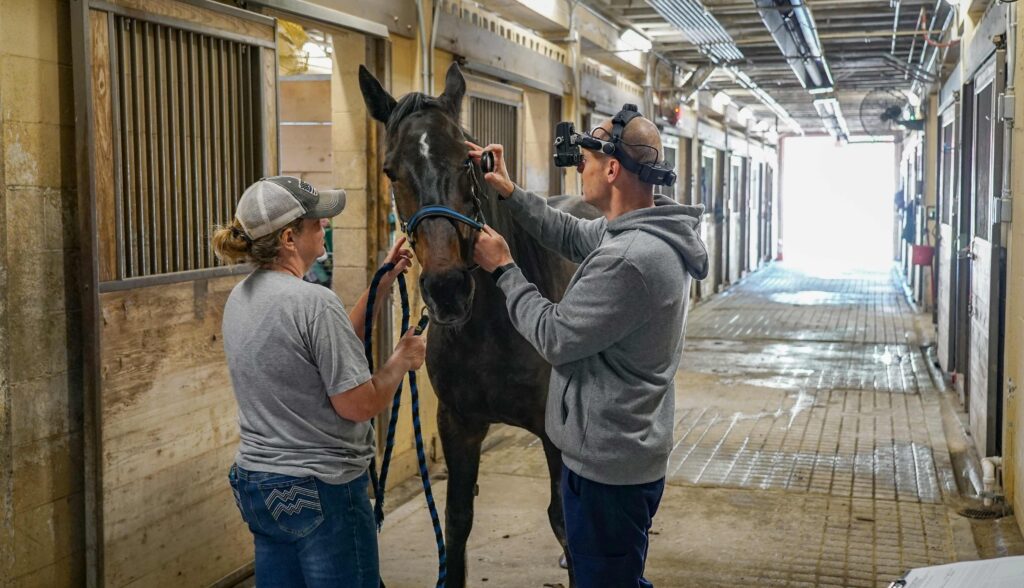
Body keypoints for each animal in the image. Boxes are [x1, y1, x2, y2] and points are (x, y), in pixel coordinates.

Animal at [362, 62, 598, 585]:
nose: (447, 288)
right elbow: (456, 523)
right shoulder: (458, 425)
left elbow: (564, 520)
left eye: (468, 161)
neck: (494, 328)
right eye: (391, 171)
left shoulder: (555, 435)